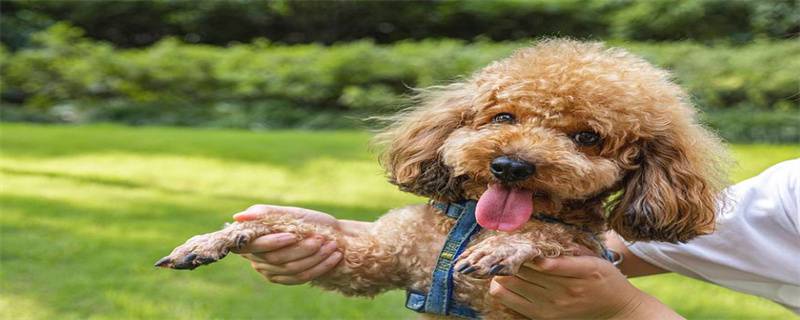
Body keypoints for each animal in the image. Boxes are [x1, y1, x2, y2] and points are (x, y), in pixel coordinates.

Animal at [155, 38, 724, 318]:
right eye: (503, 117)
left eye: (587, 137)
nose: (511, 165)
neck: (469, 224)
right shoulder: (379, 259)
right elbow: (303, 228)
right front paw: (218, 238)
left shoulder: (569, 260)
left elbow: (553, 237)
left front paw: (508, 247)